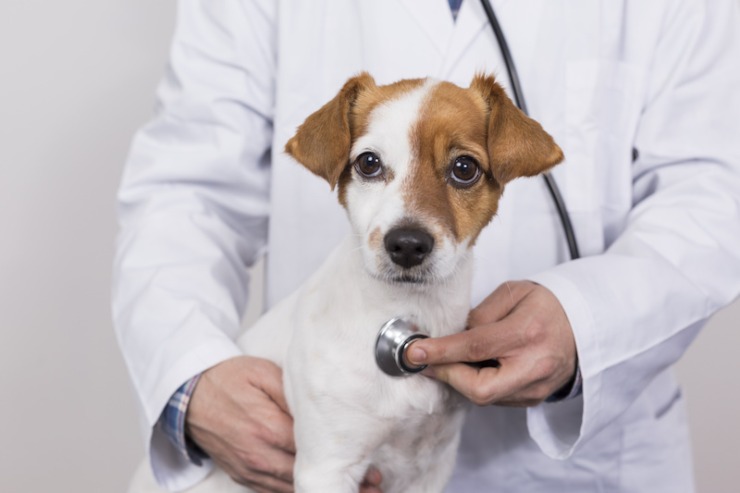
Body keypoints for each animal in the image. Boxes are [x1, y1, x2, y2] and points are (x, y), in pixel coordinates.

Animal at [133, 73, 564, 492]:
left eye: (464, 168)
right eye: (369, 163)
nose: (407, 245)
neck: (404, 312)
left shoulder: (430, 468)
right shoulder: (327, 466)